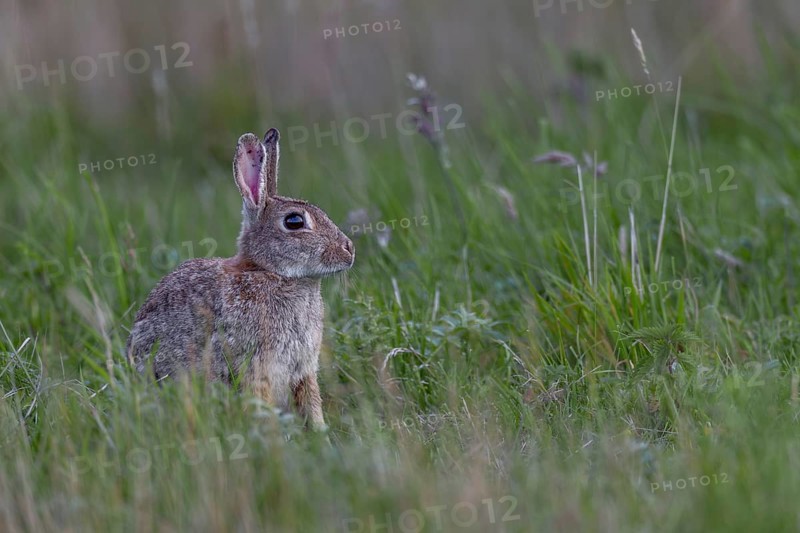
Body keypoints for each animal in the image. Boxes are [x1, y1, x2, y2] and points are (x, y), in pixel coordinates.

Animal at [126, 128, 354, 430]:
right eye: (294, 222)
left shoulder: (303, 371)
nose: (349, 249)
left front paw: (319, 432)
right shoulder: (255, 366)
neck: (269, 271)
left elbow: (311, 401)